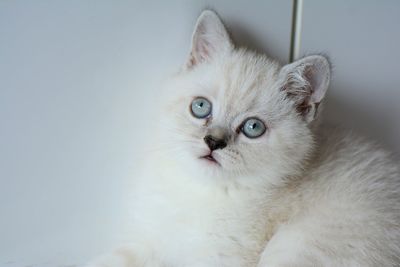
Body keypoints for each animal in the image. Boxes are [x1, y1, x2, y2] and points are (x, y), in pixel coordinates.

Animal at [87, 9, 400, 267]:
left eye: (252, 128)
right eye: (200, 107)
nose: (213, 142)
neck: (200, 193)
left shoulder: (222, 259)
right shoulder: (149, 241)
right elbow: (111, 260)